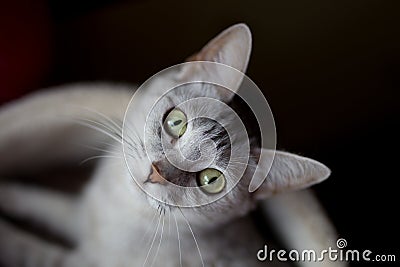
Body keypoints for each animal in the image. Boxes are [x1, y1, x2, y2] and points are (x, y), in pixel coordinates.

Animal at [0, 24, 344, 266]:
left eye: (211, 180)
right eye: (176, 122)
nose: (157, 172)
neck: (118, 210)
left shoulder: (78, 260)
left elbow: (26, 247)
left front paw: (7, 233)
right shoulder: (80, 214)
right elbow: (43, 201)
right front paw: (8, 192)